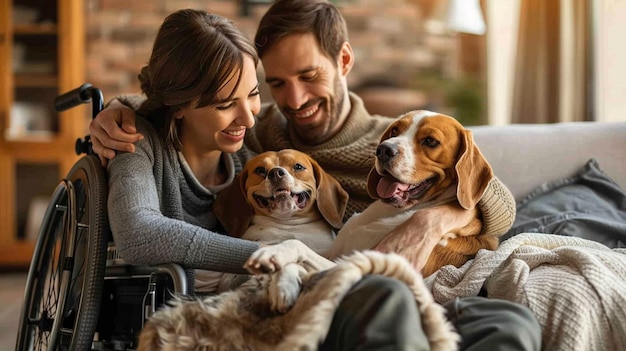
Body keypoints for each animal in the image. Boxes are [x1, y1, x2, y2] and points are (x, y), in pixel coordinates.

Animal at [244, 111, 498, 282]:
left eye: (430, 141)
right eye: (395, 130)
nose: (384, 149)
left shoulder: (357, 265)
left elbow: (298, 245)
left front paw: (273, 253)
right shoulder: (333, 252)